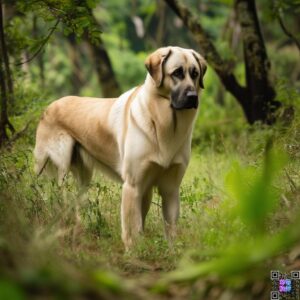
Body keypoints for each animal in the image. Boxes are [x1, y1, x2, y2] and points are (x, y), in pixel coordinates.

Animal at [33, 46, 206, 248]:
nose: (193, 97)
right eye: (177, 73)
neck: (163, 124)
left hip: (83, 177)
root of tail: (50, 106)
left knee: (77, 202)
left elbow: (169, 230)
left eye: (195, 74)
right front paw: (135, 252)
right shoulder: (133, 185)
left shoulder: (170, 189)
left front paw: (172, 251)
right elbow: (133, 230)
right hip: (58, 169)